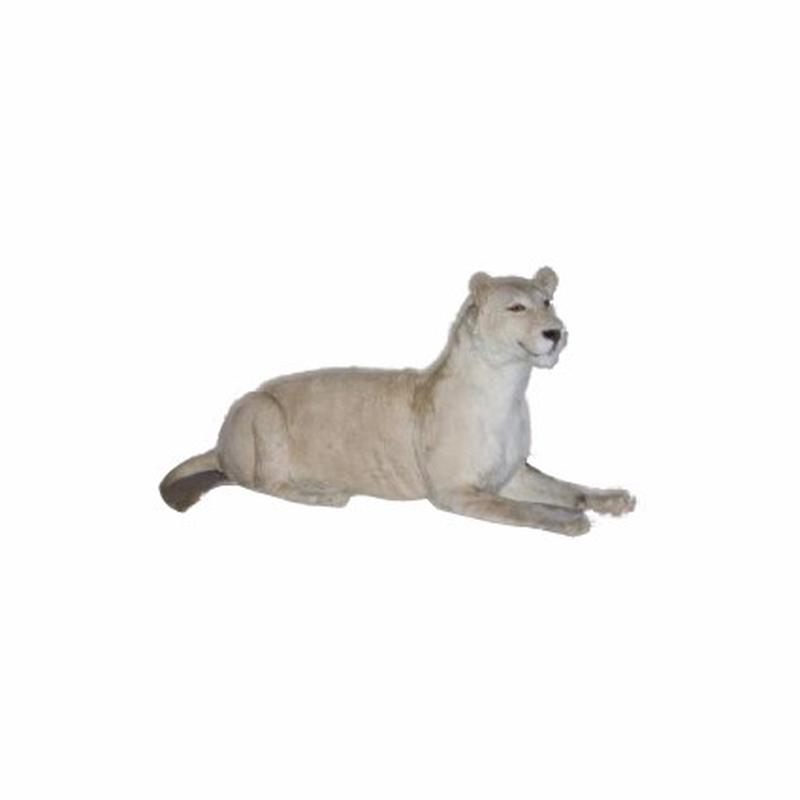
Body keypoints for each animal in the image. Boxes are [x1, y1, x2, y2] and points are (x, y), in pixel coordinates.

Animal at [159, 267, 635, 535]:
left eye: (548, 301)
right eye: (517, 307)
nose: (556, 331)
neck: (511, 387)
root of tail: (219, 442)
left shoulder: (511, 473)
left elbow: (566, 488)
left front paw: (612, 500)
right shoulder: (456, 491)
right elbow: (524, 510)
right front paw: (570, 521)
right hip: (260, 407)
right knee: (262, 484)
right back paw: (327, 493)